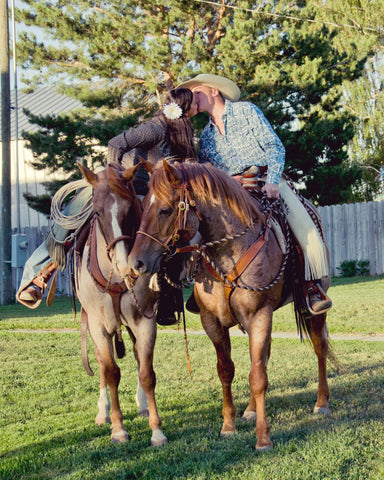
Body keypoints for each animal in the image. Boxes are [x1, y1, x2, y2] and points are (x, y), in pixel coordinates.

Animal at [73, 162, 166, 446]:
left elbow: (147, 373)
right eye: (98, 212)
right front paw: (118, 429)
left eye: (130, 208)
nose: (126, 264)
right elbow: (111, 372)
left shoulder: (145, 321)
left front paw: (157, 430)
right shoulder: (98, 325)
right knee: (103, 365)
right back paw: (103, 411)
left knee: (135, 357)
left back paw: (143, 405)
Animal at [127, 159, 332, 452]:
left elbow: (258, 377)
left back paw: (322, 402)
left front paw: (263, 438)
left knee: (319, 348)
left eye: (165, 209)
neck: (230, 249)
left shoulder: (259, 314)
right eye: (144, 207)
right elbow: (228, 371)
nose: (137, 263)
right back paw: (250, 410)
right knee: (263, 359)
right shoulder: (213, 321)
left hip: (314, 308)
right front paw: (228, 426)